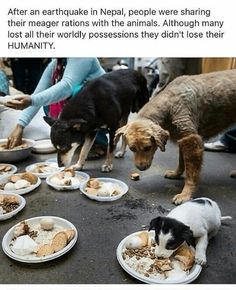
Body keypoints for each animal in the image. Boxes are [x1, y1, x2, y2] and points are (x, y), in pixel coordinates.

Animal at [115, 69, 236, 205]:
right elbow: (181, 161)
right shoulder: (182, 139)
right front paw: (176, 174)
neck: (170, 103)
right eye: (132, 149)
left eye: (147, 148)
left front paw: (186, 194)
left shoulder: (192, 140)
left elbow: (191, 173)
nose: (141, 168)